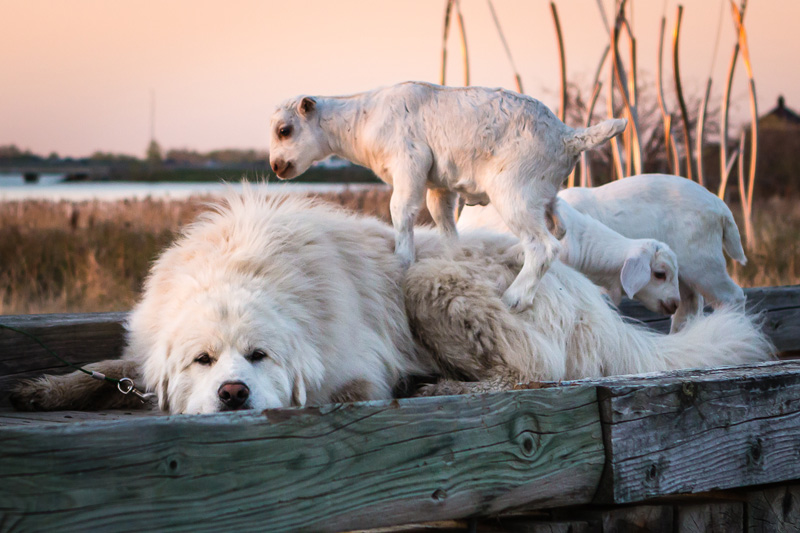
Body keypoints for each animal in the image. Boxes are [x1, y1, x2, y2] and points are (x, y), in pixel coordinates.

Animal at [10, 189, 776, 414]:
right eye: (201, 361)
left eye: (259, 357)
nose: (232, 393)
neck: (241, 266)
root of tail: (582, 291)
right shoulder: (143, 346)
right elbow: (107, 370)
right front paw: (45, 388)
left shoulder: (355, 367)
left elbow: (342, 389)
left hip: (429, 282)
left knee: (534, 372)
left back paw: (441, 385)